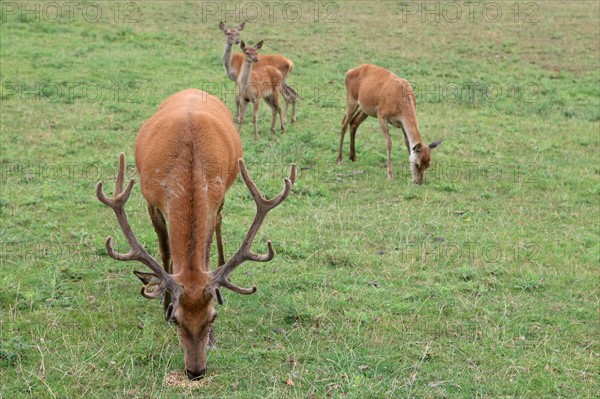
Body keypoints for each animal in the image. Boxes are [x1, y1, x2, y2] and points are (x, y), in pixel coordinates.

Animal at [95, 90, 298, 382]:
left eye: (212, 317)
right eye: (177, 318)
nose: (196, 371)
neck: (186, 168)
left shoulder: (213, 201)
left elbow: (206, 253)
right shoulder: (151, 201)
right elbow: (165, 251)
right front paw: (163, 303)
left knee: (220, 226)